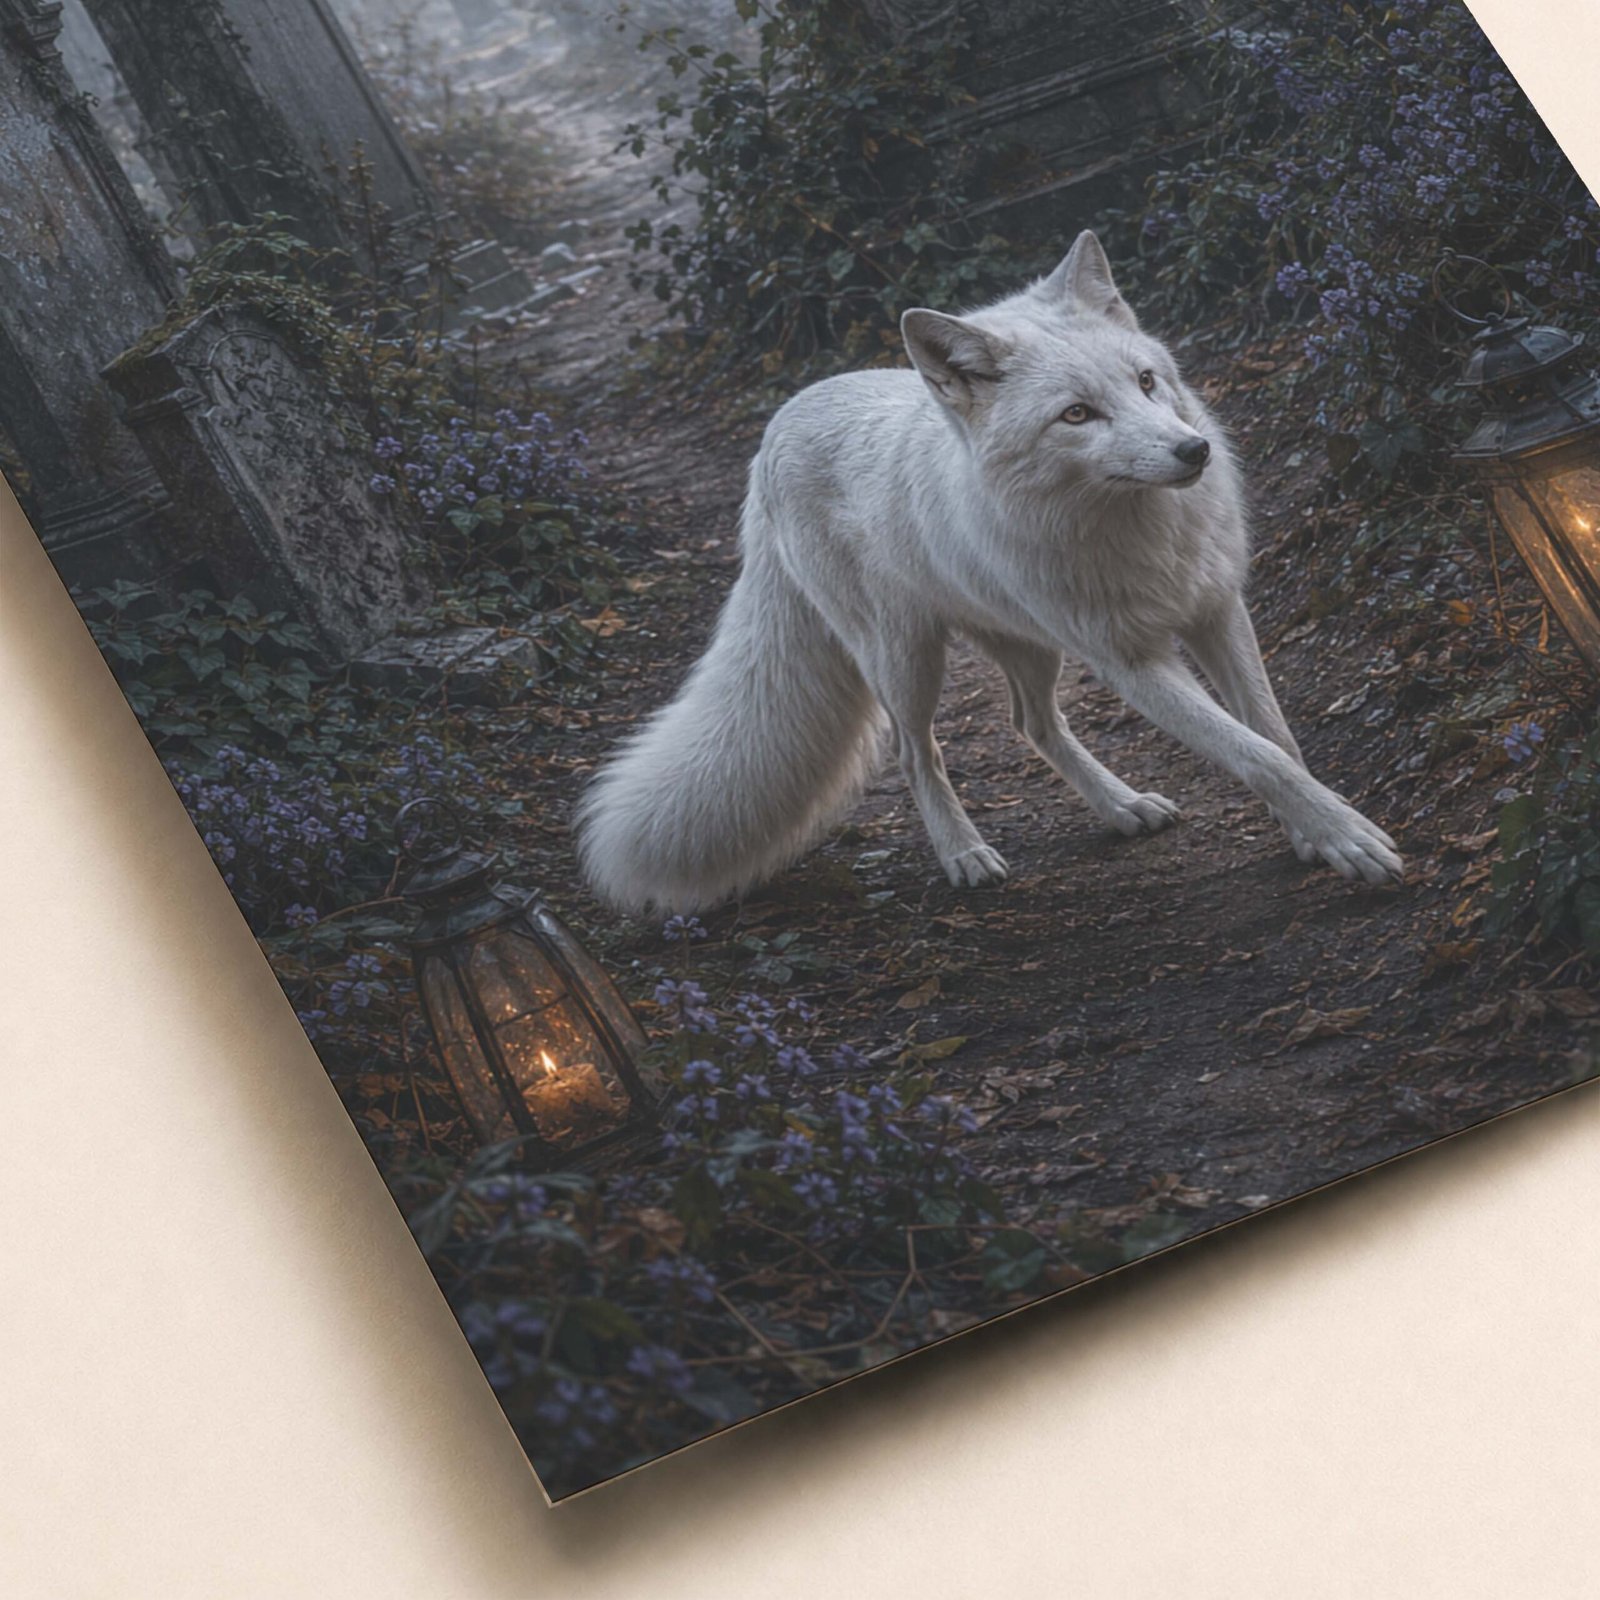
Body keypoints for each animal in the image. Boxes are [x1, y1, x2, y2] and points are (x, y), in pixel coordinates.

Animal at [578, 230, 1403, 913]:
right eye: (1077, 415)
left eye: (1145, 381)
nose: (1192, 452)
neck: (1141, 533)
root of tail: (769, 437)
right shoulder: (1133, 664)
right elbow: (1255, 754)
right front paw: (1346, 838)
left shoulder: (1215, 612)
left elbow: (1277, 736)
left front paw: (1314, 834)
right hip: (907, 660)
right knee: (917, 754)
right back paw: (965, 855)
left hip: (1028, 645)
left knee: (1032, 723)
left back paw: (1121, 809)